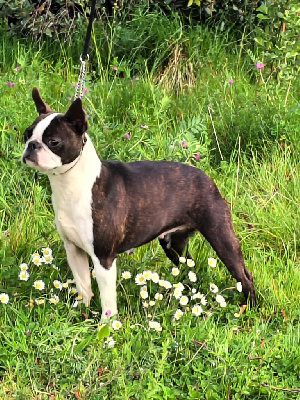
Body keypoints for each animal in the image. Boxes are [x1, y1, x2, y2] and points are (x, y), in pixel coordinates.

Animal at [22, 89, 255, 318]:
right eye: (27, 134)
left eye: (53, 142)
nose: (31, 145)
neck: (71, 183)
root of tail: (207, 178)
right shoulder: (73, 249)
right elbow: (83, 287)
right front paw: (81, 314)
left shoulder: (104, 257)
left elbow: (107, 300)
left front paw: (106, 325)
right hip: (173, 244)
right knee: (189, 266)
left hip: (220, 235)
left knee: (244, 275)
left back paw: (249, 308)